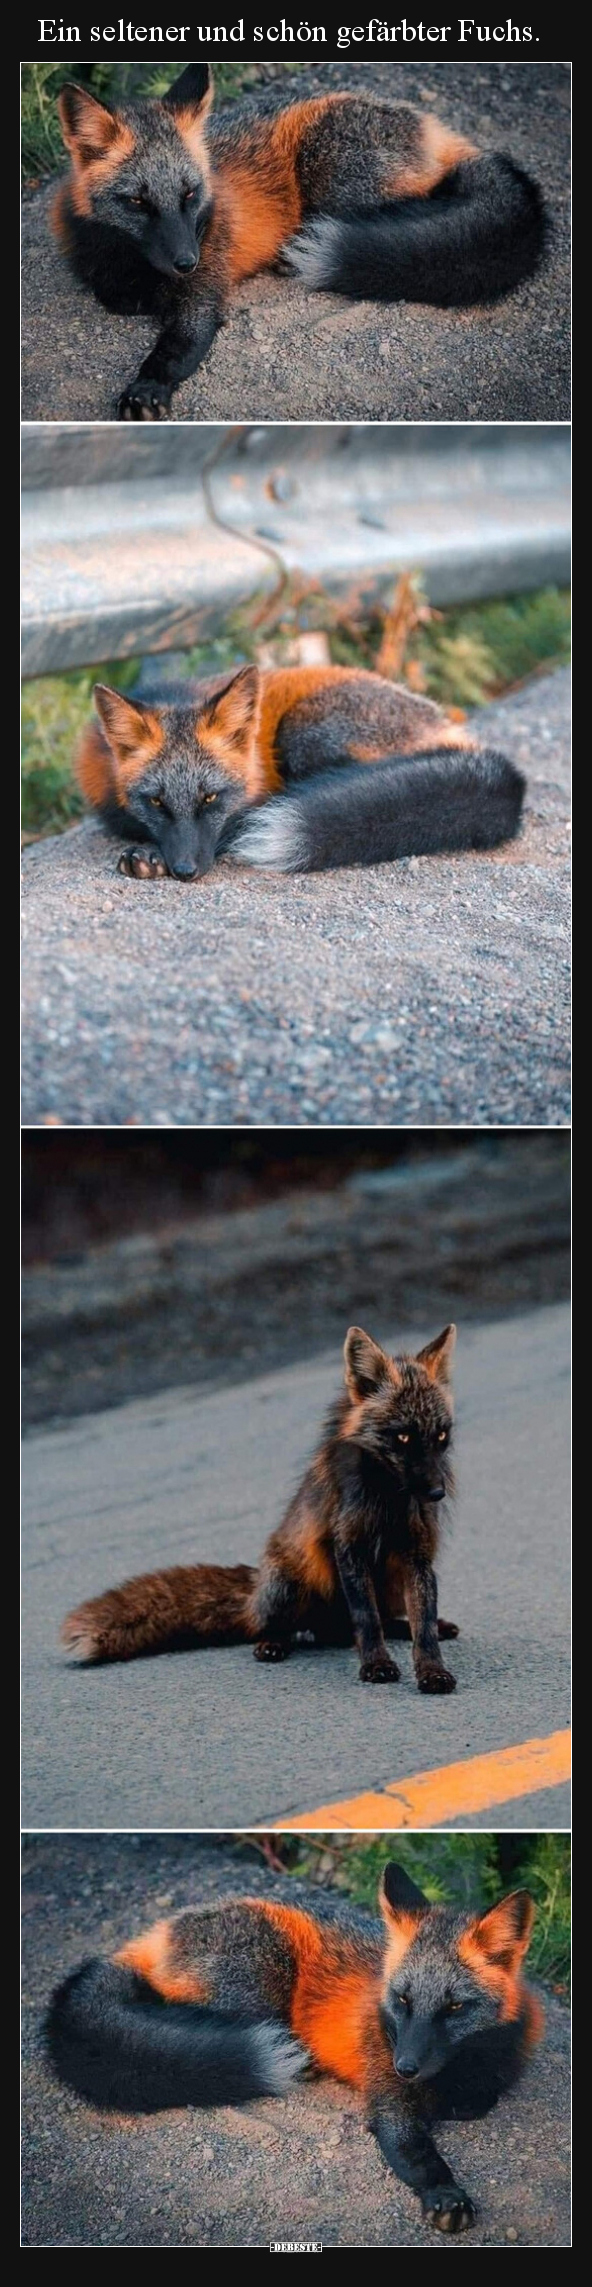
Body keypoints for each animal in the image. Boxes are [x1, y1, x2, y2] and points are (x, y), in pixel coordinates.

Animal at [46, 1860, 544, 2234]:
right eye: (403, 2000)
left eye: (455, 2007)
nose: (405, 2066)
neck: (458, 2068)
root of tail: (160, 1929)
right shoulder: (387, 2098)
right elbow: (416, 2152)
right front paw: (445, 2194)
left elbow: (481, 2098)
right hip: (261, 1984)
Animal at [50, 63, 546, 420]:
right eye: (137, 202)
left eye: (189, 194)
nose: (187, 261)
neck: (133, 265)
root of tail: (430, 123)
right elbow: (115, 296)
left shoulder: (203, 294)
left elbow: (175, 347)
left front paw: (148, 387)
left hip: (332, 175)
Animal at [63, 1322, 462, 1693]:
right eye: (403, 1436)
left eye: (441, 1435)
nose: (437, 1493)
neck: (387, 1501)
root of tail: (255, 1590)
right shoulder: (349, 1547)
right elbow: (366, 1619)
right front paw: (376, 1665)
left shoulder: (417, 1554)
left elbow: (423, 1627)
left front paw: (432, 1671)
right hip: (290, 1584)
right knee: (290, 1629)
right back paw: (272, 1643)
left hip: (389, 1584)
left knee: (359, 1627)